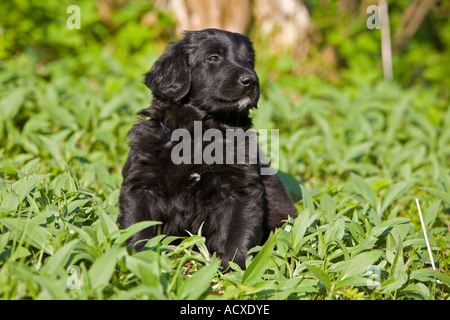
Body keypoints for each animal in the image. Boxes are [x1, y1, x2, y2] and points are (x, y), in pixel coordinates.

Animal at [118, 28, 298, 268]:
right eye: (213, 58)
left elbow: (239, 233)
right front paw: (138, 260)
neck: (200, 134)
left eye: (249, 61)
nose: (251, 80)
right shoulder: (141, 183)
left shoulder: (241, 191)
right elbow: (138, 226)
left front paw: (235, 269)